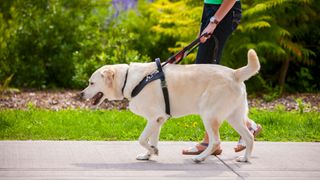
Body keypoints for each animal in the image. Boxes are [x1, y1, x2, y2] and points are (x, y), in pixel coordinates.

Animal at [80, 49, 260, 163]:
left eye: (91, 83)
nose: (80, 94)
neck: (127, 79)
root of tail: (234, 73)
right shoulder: (157, 120)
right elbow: (152, 139)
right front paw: (149, 154)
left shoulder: (154, 118)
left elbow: (141, 139)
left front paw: (152, 151)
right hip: (234, 117)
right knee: (249, 137)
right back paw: (245, 158)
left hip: (209, 115)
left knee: (215, 141)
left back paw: (200, 158)